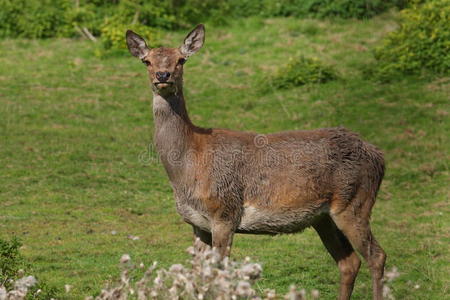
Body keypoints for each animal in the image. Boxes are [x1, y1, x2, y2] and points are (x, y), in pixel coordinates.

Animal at [125, 24, 386, 298]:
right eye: (146, 61)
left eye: (181, 59)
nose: (163, 75)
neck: (189, 165)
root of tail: (378, 156)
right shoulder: (197, 224)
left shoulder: (225, 212)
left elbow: (219, 277)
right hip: (323, 218)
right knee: (350, 262)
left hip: (355, 202)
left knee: (376, 256)